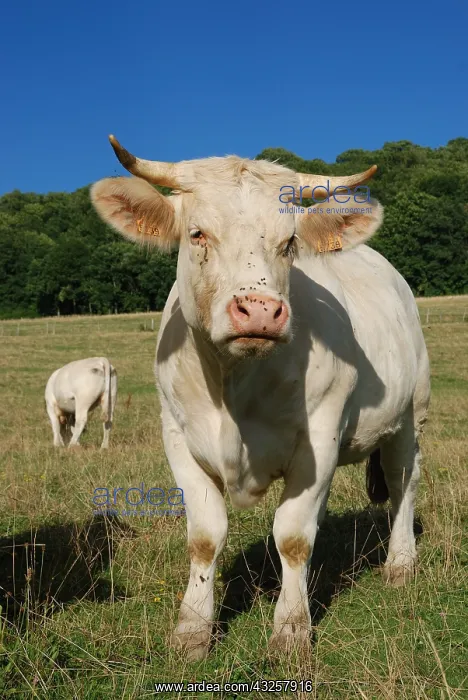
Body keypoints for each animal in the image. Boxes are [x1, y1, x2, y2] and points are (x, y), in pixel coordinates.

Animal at [91, 136, 430, 659]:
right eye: (197, 234)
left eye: (289, 244)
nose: (260, 311)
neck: (234, 384)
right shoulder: (178, 437)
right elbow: (205, 537)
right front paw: (192, 630)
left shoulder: (319, 441)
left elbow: (293, 538)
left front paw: (291, 630)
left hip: (409, 413)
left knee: (401, 483)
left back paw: (400, 563)